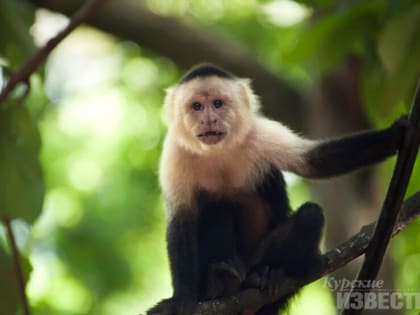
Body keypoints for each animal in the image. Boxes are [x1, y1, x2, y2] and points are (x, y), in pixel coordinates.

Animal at [147, 64, 406, 315]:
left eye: (218, 104)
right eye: (197, 106)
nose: (208, 120)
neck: (218, 152)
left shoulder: (261, 133)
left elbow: (315, 163)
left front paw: (395, 134)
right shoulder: (174, 155)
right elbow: (181, 223)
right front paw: (181, 299)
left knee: (310, 214)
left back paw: (270, 273)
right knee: (216, 204)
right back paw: (220, 283)